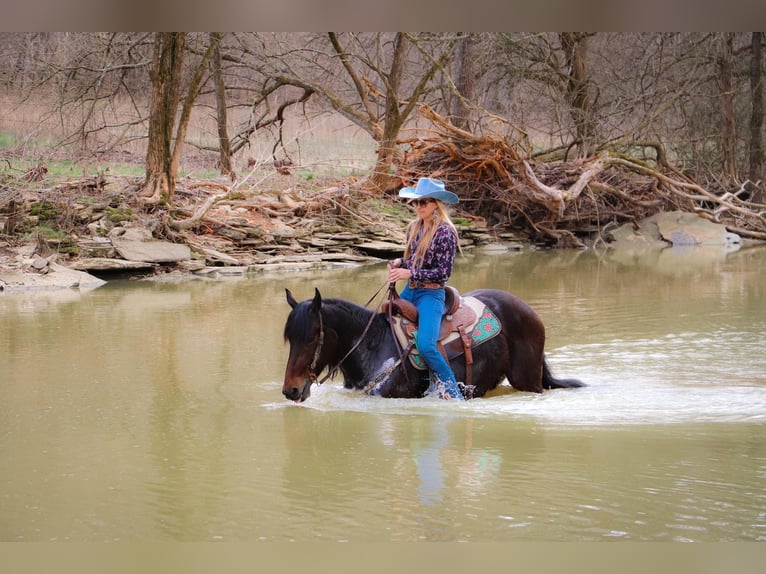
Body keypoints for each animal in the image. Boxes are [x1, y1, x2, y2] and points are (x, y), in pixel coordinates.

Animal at [282, 288, 588, 404]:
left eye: (311, 337)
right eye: (290, 339)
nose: (290, 390)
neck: (374, 348)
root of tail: (529, 311)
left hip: (528, 380)